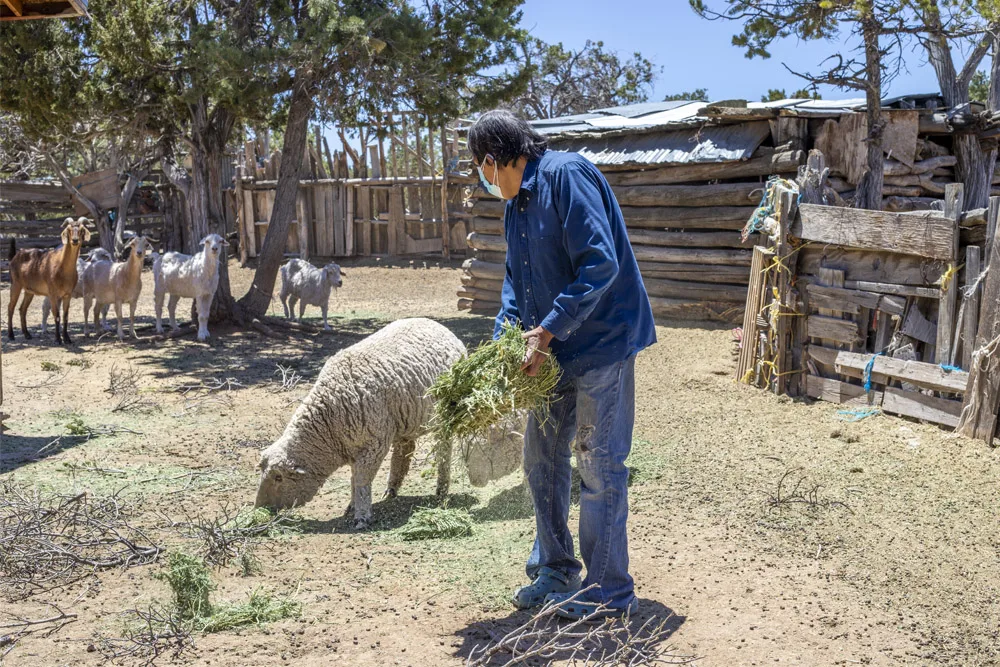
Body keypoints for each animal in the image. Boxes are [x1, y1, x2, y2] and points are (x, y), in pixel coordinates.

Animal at [254, 317, 465, 529]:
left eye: (279, 477)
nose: (259, 508)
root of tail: (438, 326)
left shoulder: (373, 446)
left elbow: (362, 481)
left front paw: (362, 516)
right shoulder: (355, 448)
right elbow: (354, 479)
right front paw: (352, 506)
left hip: (444, 415)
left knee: (444, 449)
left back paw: (441, 488)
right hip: (404, 420)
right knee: (403, 451)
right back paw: (392, 489)